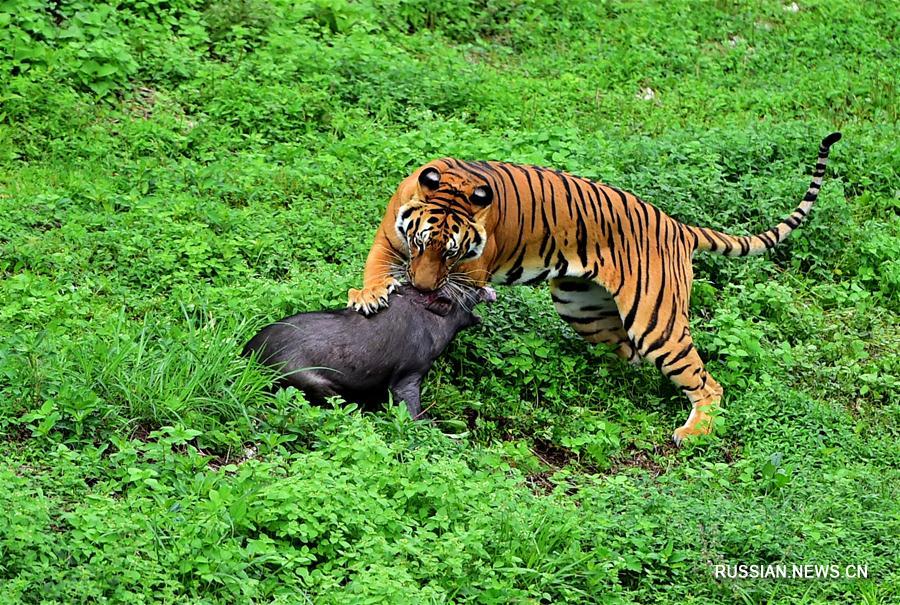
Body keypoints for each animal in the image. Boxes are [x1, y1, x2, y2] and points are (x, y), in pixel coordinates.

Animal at [348, 133, 840, 444]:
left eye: (452, 253)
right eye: (419, 243)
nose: (419, 282)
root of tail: (678, 226)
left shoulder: (470, 273)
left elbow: (451, 297)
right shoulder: (389, 237)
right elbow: (376, 268)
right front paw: (369, 295)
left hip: (656, 322)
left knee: (706, 383)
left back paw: (693, 432)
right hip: (582, 307)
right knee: (628, 358)